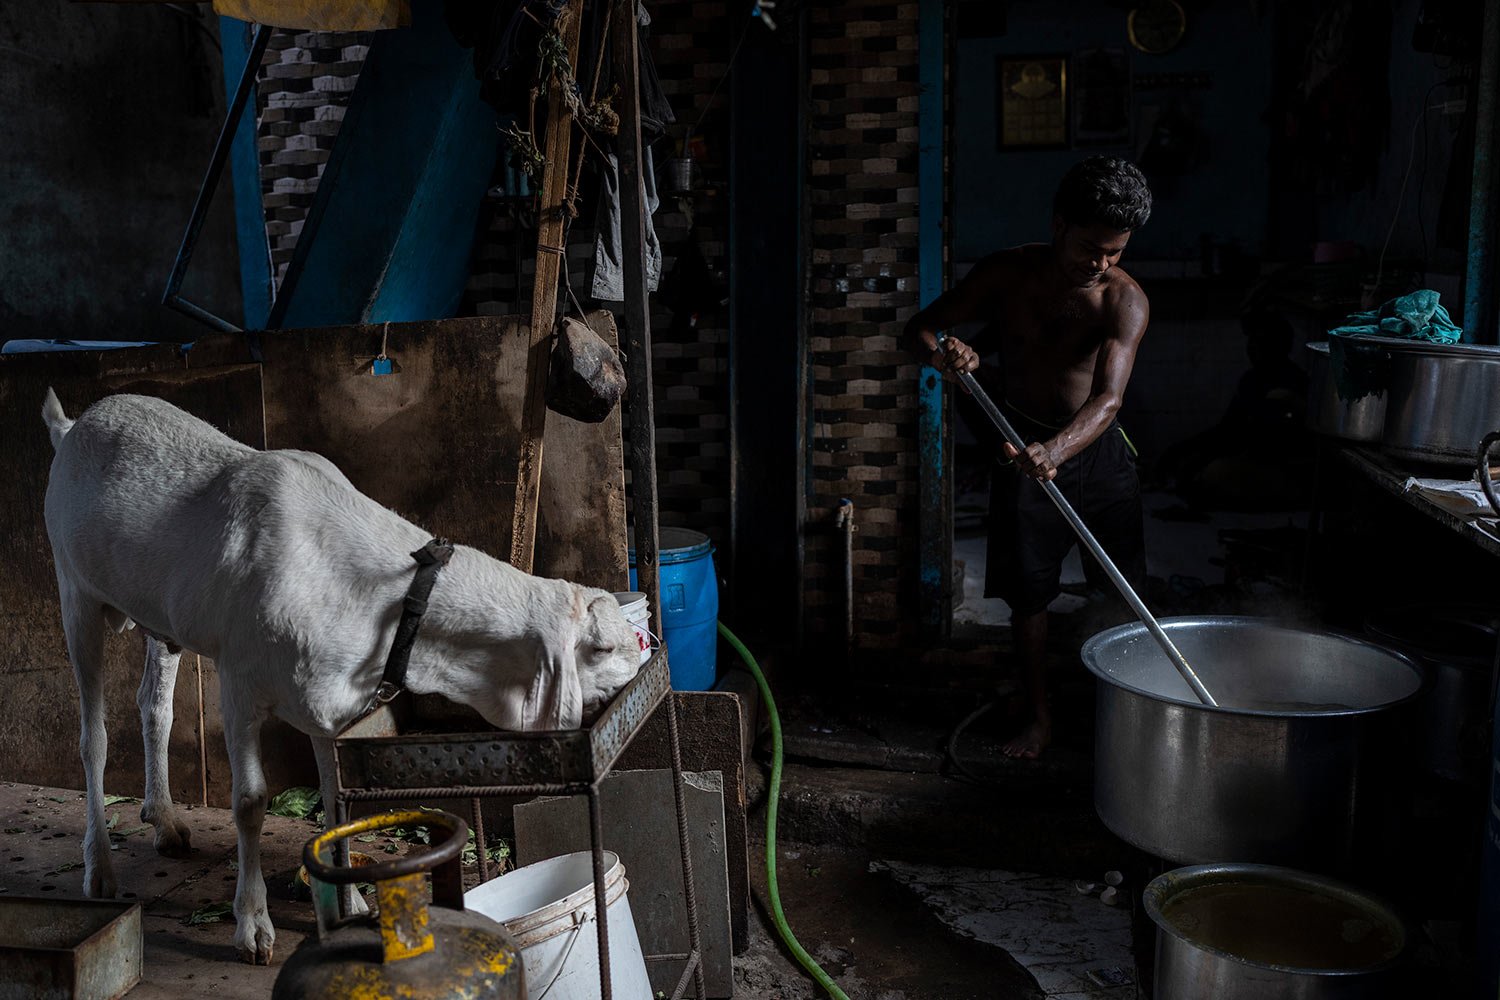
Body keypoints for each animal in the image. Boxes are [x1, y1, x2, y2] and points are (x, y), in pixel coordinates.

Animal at [43, 389, 642, 959]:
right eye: (601, 646)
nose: (644, 649)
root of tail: (72, 426)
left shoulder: (332, 706)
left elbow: (338, 802)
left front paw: (350, 898)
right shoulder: (240, 684)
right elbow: (250, 802)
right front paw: (252, 923)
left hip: (159, 618)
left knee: (155, 706)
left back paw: (165, 820)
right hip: (75, 592)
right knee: (93, 738)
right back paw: (99, 869)